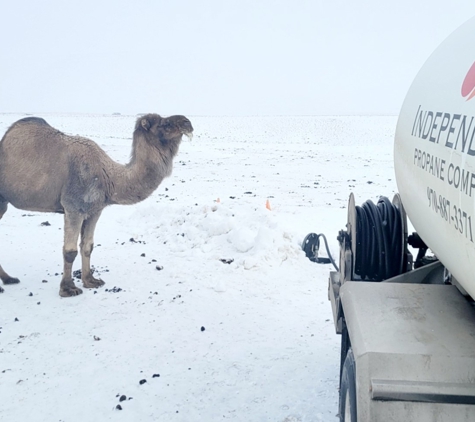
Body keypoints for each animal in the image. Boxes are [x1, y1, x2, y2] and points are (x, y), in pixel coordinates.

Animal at [0, 112, 193, 296]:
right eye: (164, 123)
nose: (187, 122)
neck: (108, 177)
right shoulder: (74, 207)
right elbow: (70, 251)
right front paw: (68, 289)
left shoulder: (95, 210)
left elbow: (88, 246)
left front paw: (90, 281)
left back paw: (9, 279)